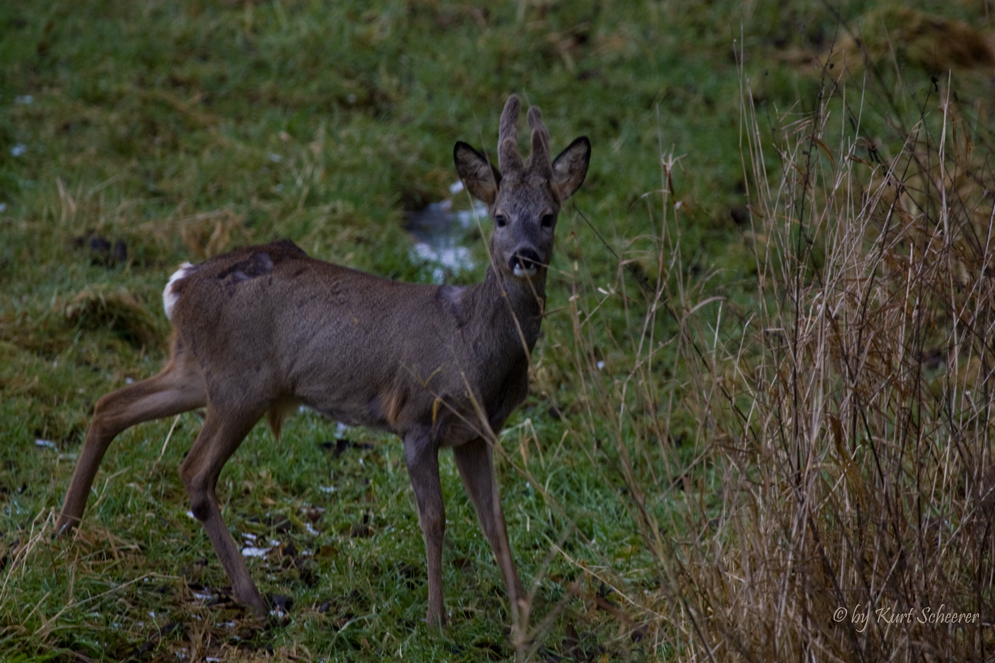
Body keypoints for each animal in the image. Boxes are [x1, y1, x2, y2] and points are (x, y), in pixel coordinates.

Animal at [54, 94, 592, 628]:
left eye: (548, 216)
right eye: (499, 217)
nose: (524, 256)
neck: (474, 348)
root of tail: (180, 285)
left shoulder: (476, 434)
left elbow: (494, 520)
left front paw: (522, 613)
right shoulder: (417, 417)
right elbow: (435, 519)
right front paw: (437, 620)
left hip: (196, 369)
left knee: (111, 405)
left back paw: (66, 527)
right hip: (241, 384)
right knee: (194, 471)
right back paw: (254, 597)